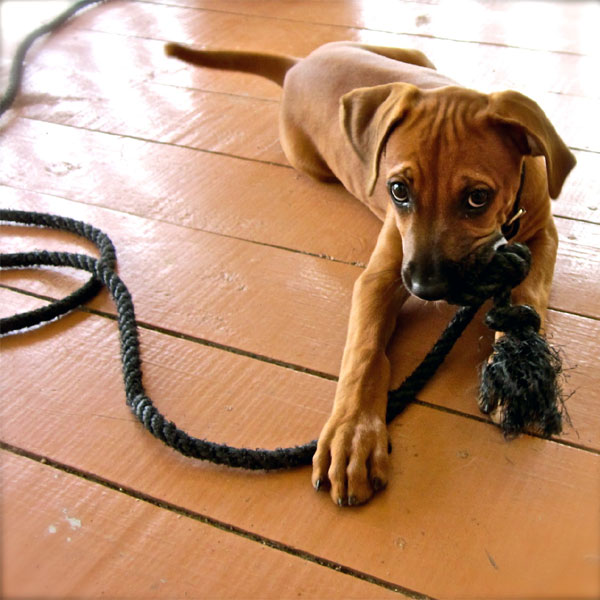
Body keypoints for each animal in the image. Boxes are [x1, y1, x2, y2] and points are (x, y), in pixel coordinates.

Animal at [164, 39, 576, 506]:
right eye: (398, 190)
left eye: (477, 198)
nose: (425, 287)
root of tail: (297, 65)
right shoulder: (380, 277)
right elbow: (364, 354)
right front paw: (352, 435)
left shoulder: (544, 235)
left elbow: (527, 294)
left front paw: (516, 370)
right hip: (312, 164)